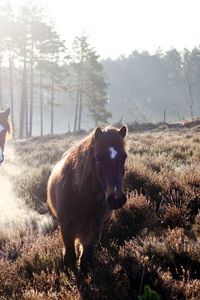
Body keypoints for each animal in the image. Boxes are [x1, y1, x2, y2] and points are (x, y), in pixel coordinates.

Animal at [47, 125, 127, 270]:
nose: (117, 199)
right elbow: (70, 255)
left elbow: (85, 257)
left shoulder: (94, 229)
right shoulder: (66, 228)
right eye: (99, 158)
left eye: (124, 157)